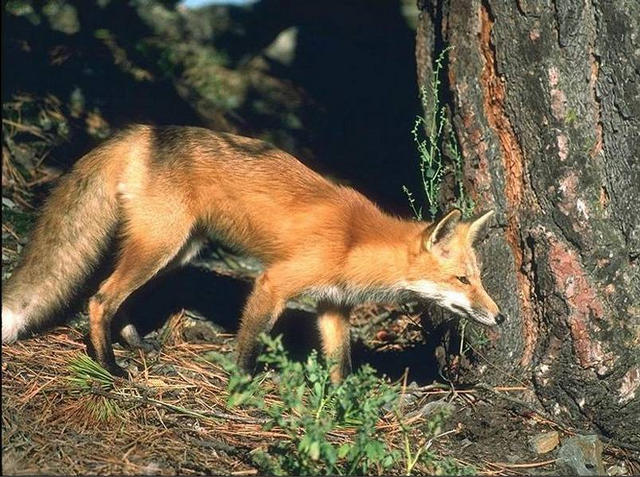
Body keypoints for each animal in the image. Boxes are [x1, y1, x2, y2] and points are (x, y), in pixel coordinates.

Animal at [2, 125, 505, 382]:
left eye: (479, 278)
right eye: (463, 280)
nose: (500, 316)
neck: (355, 242)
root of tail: (145, 130)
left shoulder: (332, 306)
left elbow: (340, 365)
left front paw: (338, 407)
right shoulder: (273, 283)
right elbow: (249, 344)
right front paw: (240, 388)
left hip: (176, 252)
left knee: (117, 295)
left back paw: (135, 341)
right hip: (159, 246)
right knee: (99, 296)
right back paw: (108, 364)